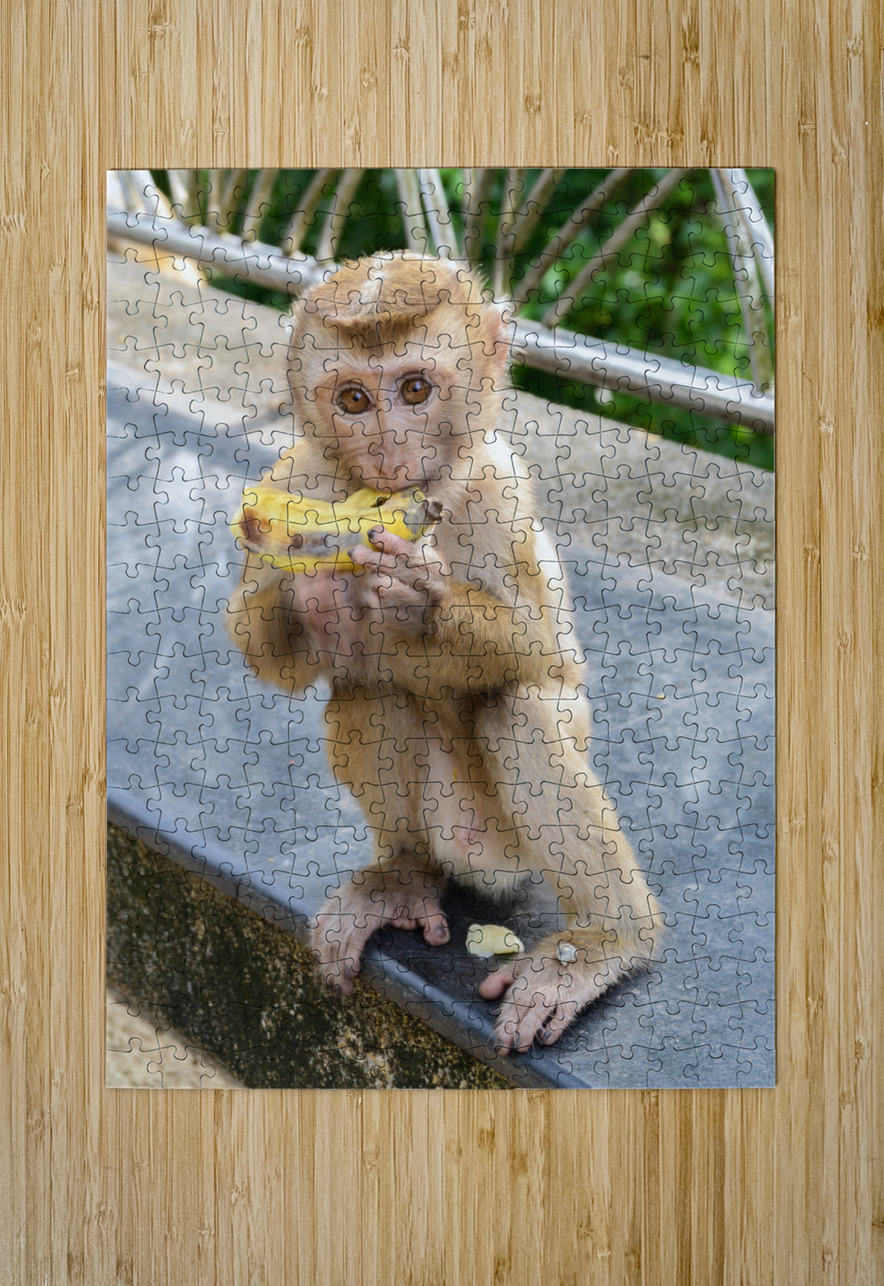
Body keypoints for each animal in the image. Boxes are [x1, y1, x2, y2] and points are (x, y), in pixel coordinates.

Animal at [228, 251, 660, 1054]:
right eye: (354, 399)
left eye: (416, 390)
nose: (391, 450)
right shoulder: (296, 478)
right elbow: (274, 658)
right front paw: (316, 597)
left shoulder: (500, 487)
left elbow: (540, 650)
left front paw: (421, 600)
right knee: (371, 693)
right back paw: (403, 877)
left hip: (507, 847)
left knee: (518, 710)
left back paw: (603, 943)